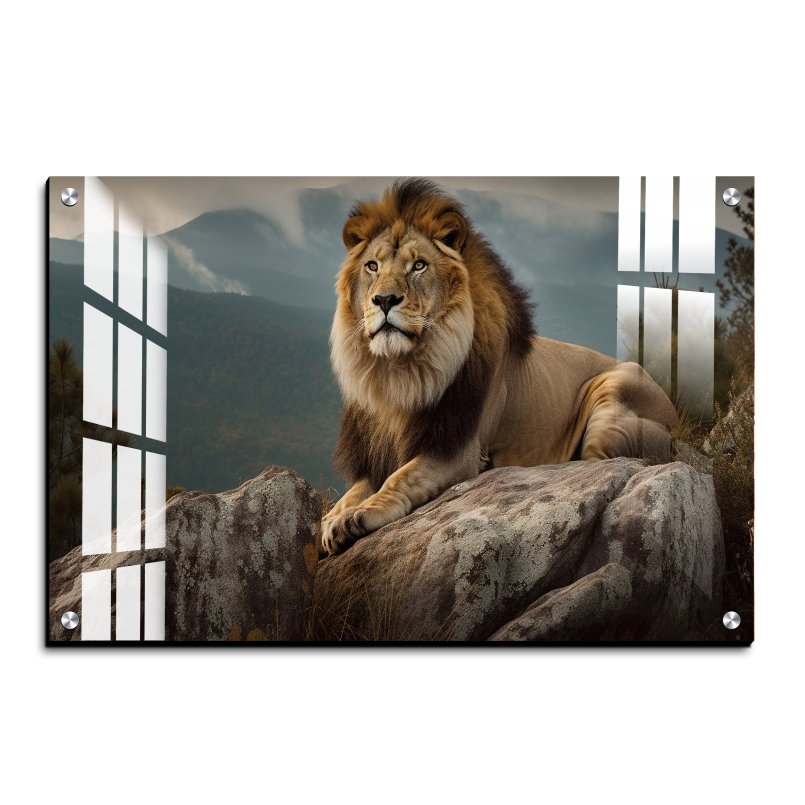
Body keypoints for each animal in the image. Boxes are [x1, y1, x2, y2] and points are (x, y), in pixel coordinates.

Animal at [320, 178, 678, 556]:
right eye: (372, 266)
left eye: (418, 266)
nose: (384, 300)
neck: (398, 375)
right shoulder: (376, 453)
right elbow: (353, 491)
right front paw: (335, 519)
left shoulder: (458, 451)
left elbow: (400, 477)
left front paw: (358, 516)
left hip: (614, 395)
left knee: (599, 470)